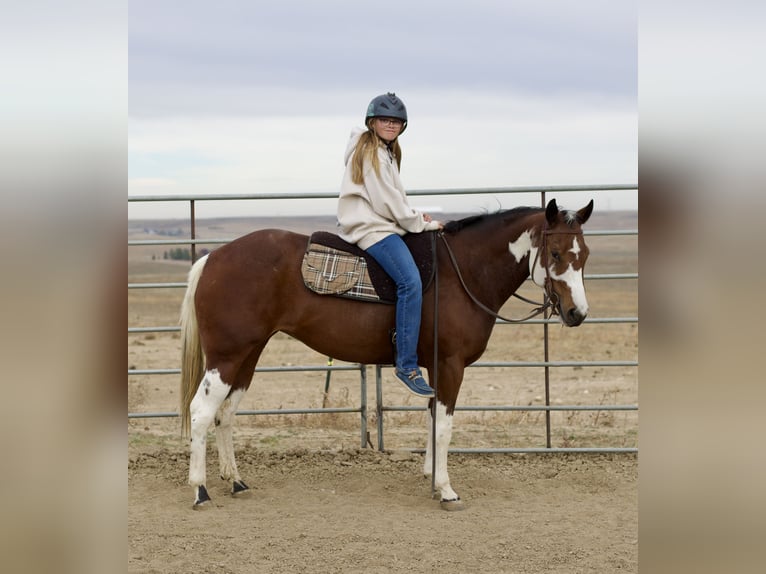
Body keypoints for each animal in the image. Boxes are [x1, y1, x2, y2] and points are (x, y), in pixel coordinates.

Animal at [179, 198, 593, 510]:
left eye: (584, 254)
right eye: (556, 253)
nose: (577, 314)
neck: (464, 272)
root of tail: (213, 258)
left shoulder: (435, 368)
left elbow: (431, 421)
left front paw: (430, 476)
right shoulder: (451, 365)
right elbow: (444, 427)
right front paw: (446, 490)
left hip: (247, 355)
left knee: (226, 413)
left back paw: (236, 481)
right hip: (226, 356)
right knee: (201, 413)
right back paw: (200, 490)